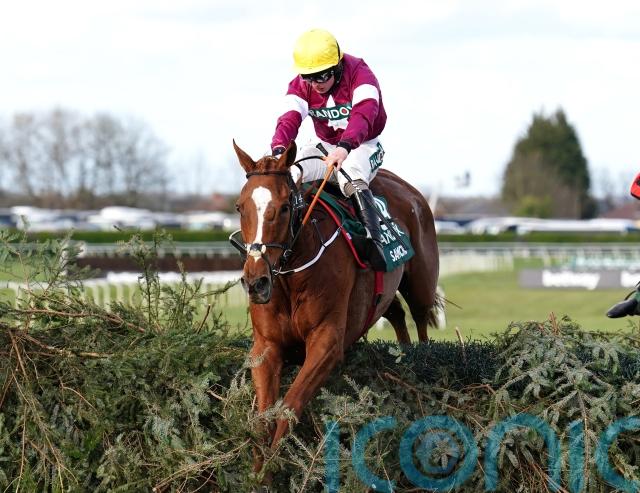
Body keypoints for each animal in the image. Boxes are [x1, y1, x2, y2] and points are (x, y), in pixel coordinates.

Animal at [232, 139, 440, 456]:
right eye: (240, 207)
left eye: (284, 207)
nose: (256, 282)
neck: (291, 276)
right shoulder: (266, 346)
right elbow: (262, 419)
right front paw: (259, 466)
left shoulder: (326, 342)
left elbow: (288, 408)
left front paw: (277, 461)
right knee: (396, 312)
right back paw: (402, 351)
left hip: (421, 283)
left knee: (420, 317)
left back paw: (422, 358)